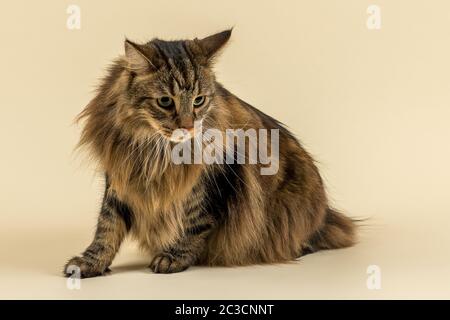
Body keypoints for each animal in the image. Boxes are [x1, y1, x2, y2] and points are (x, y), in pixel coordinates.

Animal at [65, 28, 356, 278]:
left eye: (199, 101)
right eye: (165, 101)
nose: (188, 126)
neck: (157, 150)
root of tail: (327, 214)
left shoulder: (212, 182)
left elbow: (194, 223)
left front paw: (174, 257)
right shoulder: (120, 178)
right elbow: (107, 229)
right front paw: (90, 263)